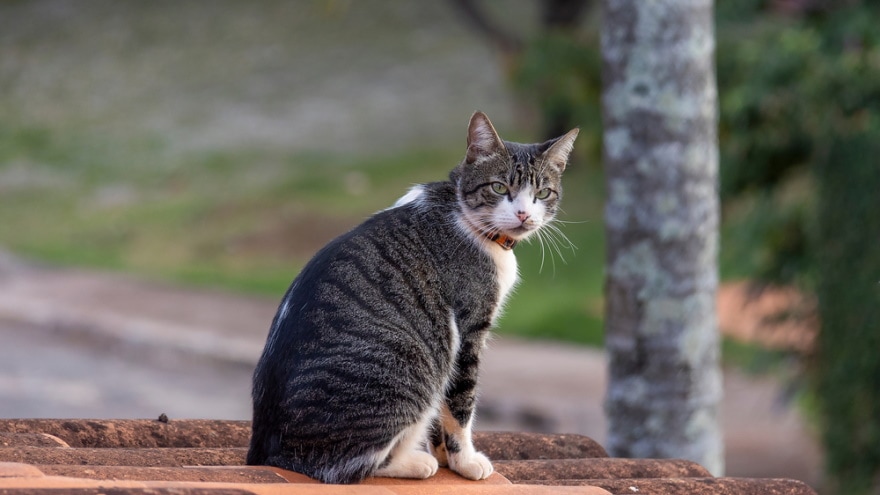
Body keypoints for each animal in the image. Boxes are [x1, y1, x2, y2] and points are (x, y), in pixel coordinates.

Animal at [246, 111, 576, 484]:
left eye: (542, 192)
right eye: (499, 187)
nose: (523, 214)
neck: (463, 213)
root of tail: (264, 451)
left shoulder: (446, 344)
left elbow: (441, 414)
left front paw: (446, 456)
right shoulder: (468, 328)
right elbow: (460, 405)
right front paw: (466, 461)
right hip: (409, 366)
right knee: (346, 466)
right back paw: (414, 463)